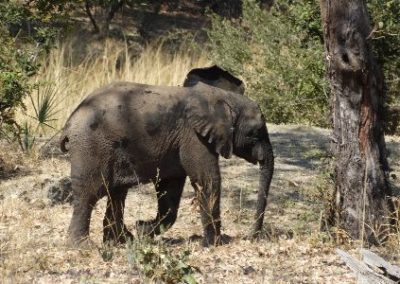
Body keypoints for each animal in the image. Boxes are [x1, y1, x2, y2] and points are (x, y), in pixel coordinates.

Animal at [61, 65, 274, 245]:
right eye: (255, 132)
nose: (251, 236)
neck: (222, 98)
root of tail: (71, 120)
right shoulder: (194, 136)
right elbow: (207, 180)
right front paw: (214, 244)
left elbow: (170, 189)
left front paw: (142, 230)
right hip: (91, 146)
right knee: (89, 194)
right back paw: (83, 247)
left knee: (117, 193)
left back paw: (121, 241)